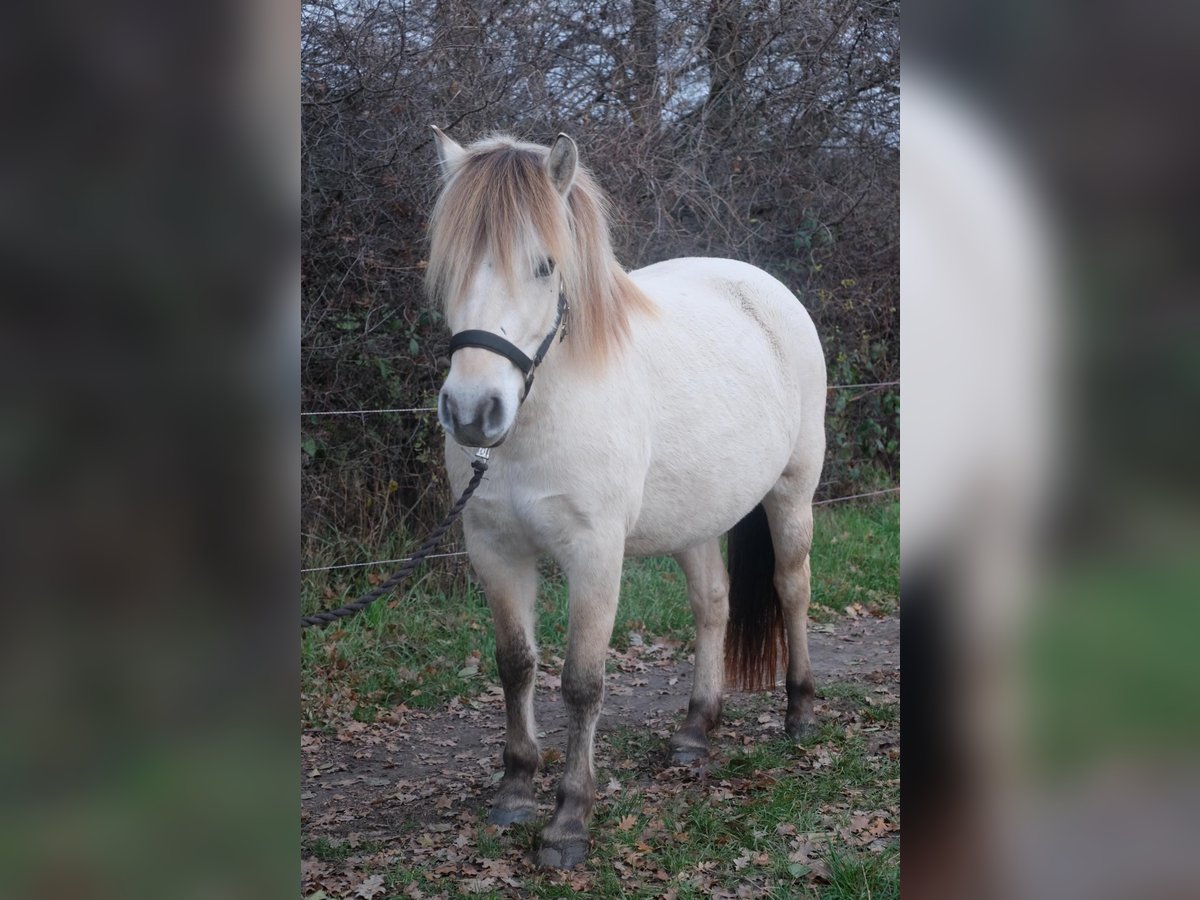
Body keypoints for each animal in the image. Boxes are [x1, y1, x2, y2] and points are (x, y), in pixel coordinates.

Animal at [426, 128, 827, 869]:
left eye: (546, 266)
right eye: (451, 266)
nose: (472, 412)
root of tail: (765, 288)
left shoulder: (594, 555)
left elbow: (582, 683)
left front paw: (568, 821)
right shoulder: (494, 549)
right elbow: (515, 665)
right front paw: (515, 788)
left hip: (793, 494)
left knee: (792, 591)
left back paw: (801, 712)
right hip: (696, 518)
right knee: (713, 605)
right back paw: (696, 731)